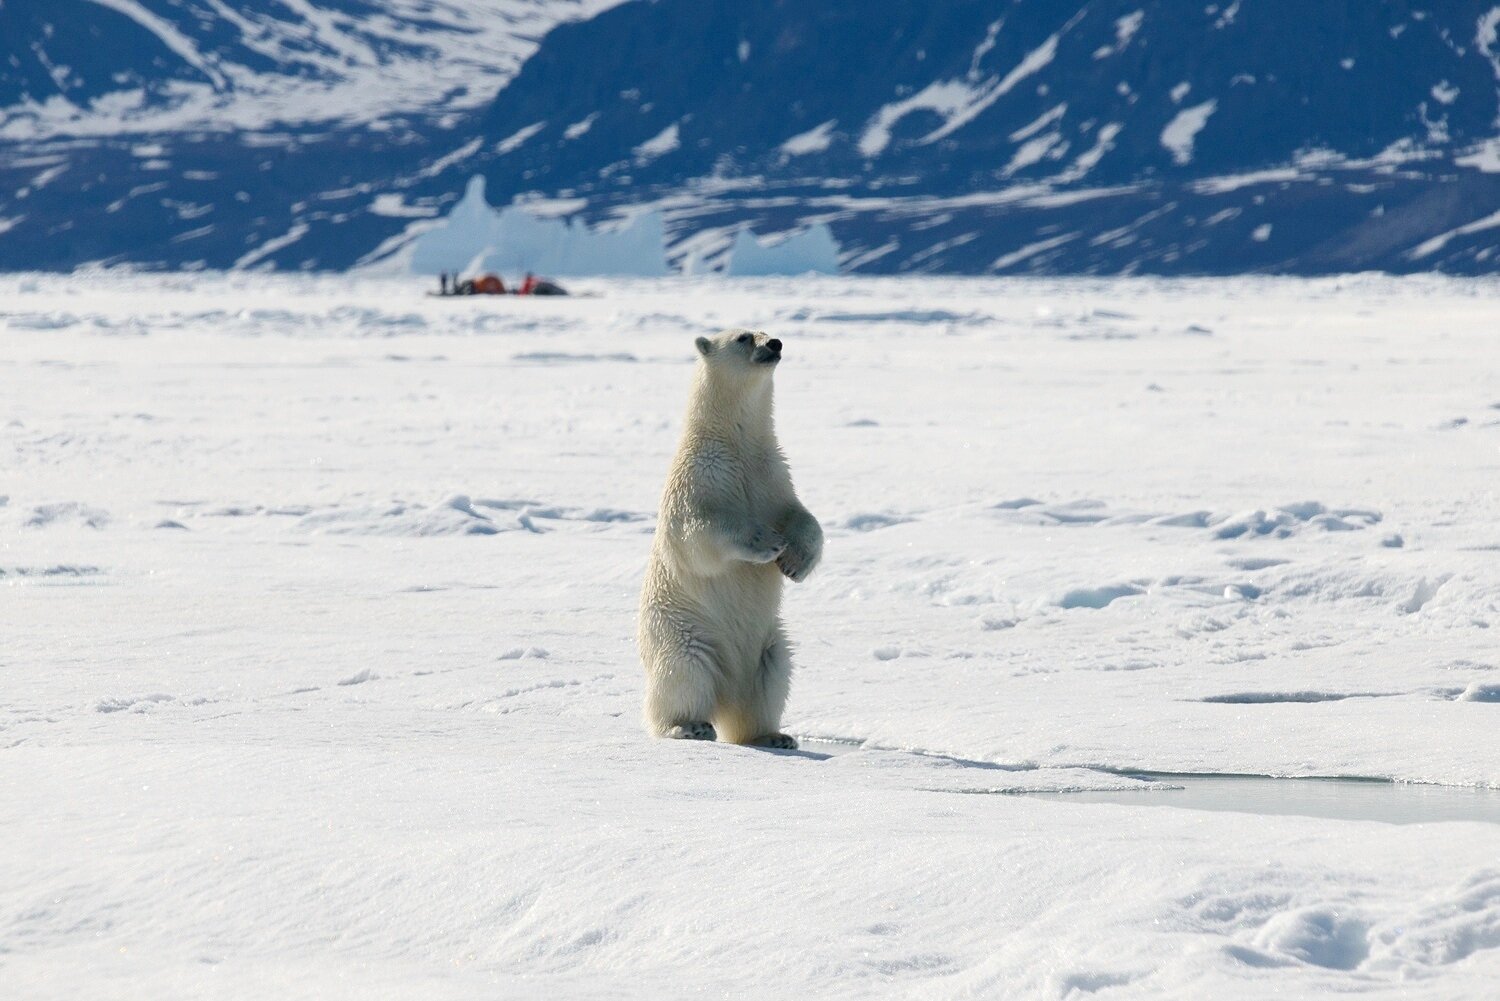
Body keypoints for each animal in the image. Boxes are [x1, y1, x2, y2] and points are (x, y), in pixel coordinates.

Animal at [633, 325, 822, 747]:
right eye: (743, 337)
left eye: (768, 331)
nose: (775, 344)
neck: (736, 444)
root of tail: (727, 696)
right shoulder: (700, 475)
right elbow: (698, 535)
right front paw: (767, 543)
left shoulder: (772, 474)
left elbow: (802, 516)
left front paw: (796, 563)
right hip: (685, 634)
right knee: (683, 676)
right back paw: (689, 725)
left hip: (769, 645)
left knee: (771, 679)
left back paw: (772, 735)